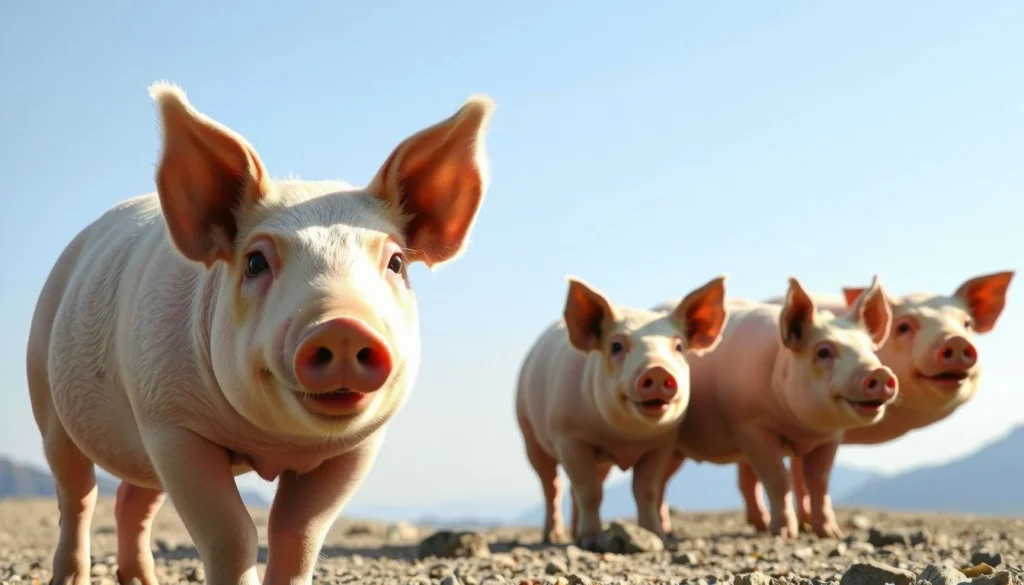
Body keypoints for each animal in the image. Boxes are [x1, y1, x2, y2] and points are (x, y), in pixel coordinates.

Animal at [26, 82, 495, 585]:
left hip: (138, 438)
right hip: (47, 387)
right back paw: (69, 576)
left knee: (134, 497)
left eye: (396, 262)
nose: (343, 325)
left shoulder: (358, 446)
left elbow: (298, 533)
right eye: (254, 262)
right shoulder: (172, 421)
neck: (270, 446)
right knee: (77, 493)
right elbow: (232, 533)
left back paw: (144, 581)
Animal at [514, 275, 729, 550]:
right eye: (616, 346)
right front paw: (591, 543)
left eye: (679, 346)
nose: (657, 370)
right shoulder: (569, 437)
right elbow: (589, 491)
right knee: (552, 485)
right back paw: (554, 537)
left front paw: (657, 537)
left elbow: (646, 491)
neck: (625, 441)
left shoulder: (662, 443)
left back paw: (573, 534)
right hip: (528, 432)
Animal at [652, 277, 899, 539]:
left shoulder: (831, 437)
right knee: (660, 484)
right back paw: (665, 531)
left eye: (871, 350)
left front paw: (831, 534)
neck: (801, 430)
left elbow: (819, 482)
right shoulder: (750, 426)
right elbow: (779, 479)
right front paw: (784, 534)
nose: (879, 372)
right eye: (823, 351)